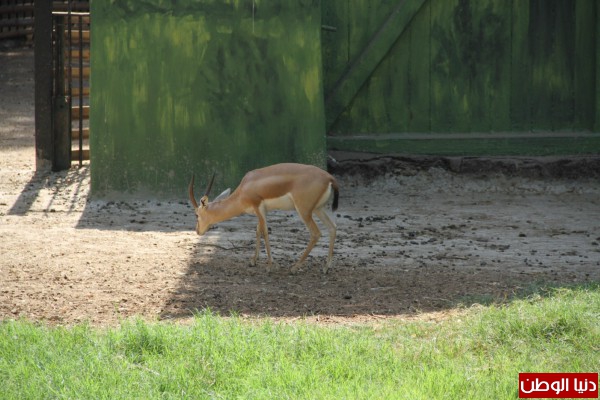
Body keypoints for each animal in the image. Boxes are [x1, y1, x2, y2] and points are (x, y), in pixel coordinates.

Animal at [188, 163, 339, 274]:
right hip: (318, 209)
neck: (245, 188)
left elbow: (265, 232)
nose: (197, 231)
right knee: (333, 227)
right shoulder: (262, 211)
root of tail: (329, 178)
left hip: (304, 211)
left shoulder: (258, 207)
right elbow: (258, 230)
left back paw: (295, 267)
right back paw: (326, 267)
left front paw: (270, 265)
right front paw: (253, 261)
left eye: (197, 214)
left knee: (316, 233)